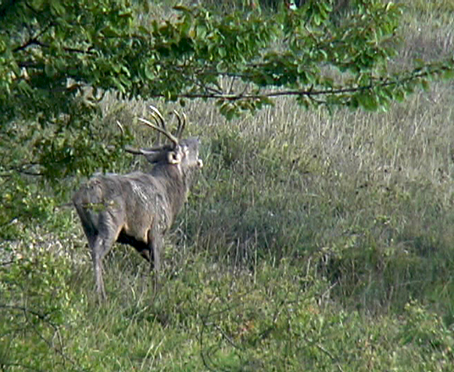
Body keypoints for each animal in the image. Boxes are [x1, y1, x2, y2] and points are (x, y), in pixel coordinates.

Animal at [72, 105, 203, 300]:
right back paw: (101, 295)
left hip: (87, 226)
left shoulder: (138, 240)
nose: (198, 139)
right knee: (98, 252)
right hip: (110, 222)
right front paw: (157, 295)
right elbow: (157, 268)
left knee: (91, 249)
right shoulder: (157, 229)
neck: (170, 198)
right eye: (185, 147)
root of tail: (84, 196)